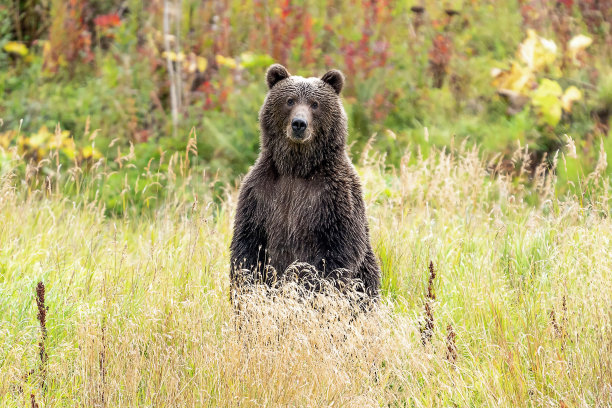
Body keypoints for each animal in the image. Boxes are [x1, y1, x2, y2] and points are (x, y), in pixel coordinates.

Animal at [230, 64, 380, 300]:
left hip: (367, 274)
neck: (297, 168)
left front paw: (311, 290)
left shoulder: (334, 195)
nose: (299, 124)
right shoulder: (259, 192)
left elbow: (338, 250)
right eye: (290, 100)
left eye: (315, 104)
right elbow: (247, 245)